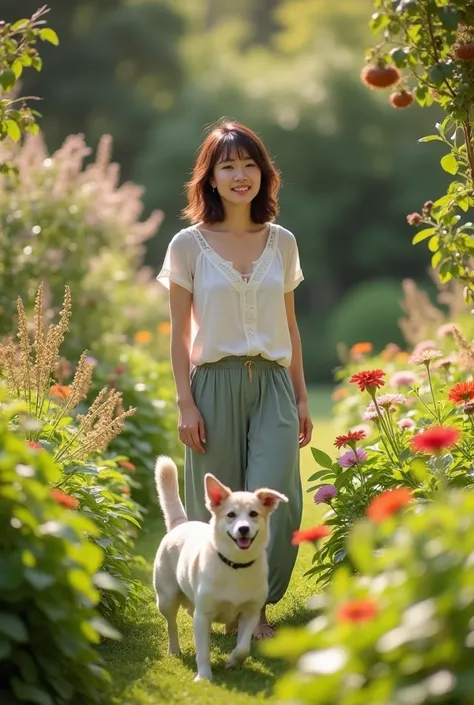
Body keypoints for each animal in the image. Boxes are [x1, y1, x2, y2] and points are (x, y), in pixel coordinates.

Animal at [154, 456, 286, 680]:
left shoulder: (250, 614)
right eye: (231, 515)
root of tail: (180, 524)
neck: (236, 566)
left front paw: (233, 662)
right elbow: (202, 651)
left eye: (253, 514)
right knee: (171, 624)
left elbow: (243, 647)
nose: (244, 529)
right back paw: (174, 649)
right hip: (167, 598)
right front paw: (204, 677)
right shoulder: (203, 614)